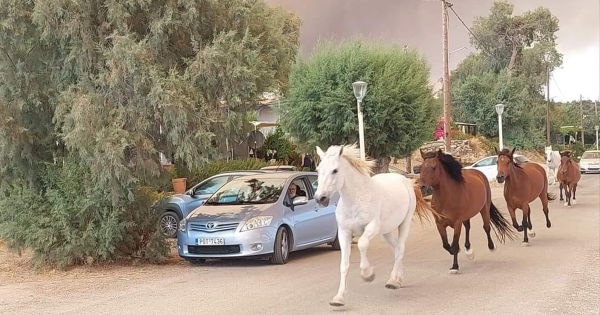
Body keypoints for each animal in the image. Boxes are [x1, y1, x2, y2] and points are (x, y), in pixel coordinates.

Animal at [312, 144, 438, 308]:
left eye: (335, 170)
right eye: (318, 169)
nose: (320, 198)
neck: (356, 199)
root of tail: (405, 180)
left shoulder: (372, 227)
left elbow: (362, 244)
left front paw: (367, 274)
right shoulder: (344, 233)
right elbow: (344, 264)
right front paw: (338, 298)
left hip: (404, 223)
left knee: (400, 248)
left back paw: (393, 281)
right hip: (387, 231)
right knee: (396, 248)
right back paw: (398, 279)